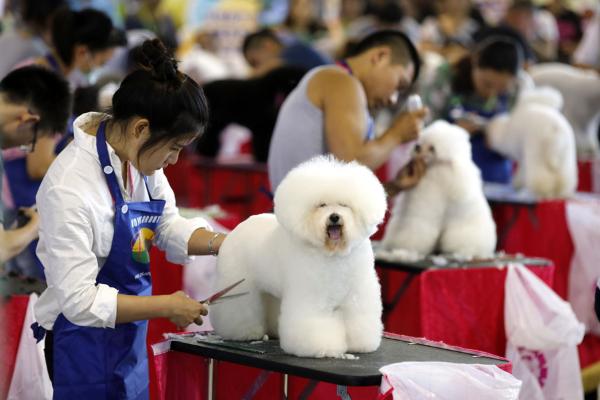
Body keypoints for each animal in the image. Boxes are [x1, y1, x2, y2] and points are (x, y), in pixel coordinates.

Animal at [211, 155, 390, 358]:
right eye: (322, 205)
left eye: (344, 205)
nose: (334, 217)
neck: (333, 254)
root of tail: (238, 228)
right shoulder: (312, 297)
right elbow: (313, 323)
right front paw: (322, 347)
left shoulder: (357, 296)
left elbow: (358, 318)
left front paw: (360, 344)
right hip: (240, 286)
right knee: (239, 310)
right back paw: (245, 333)